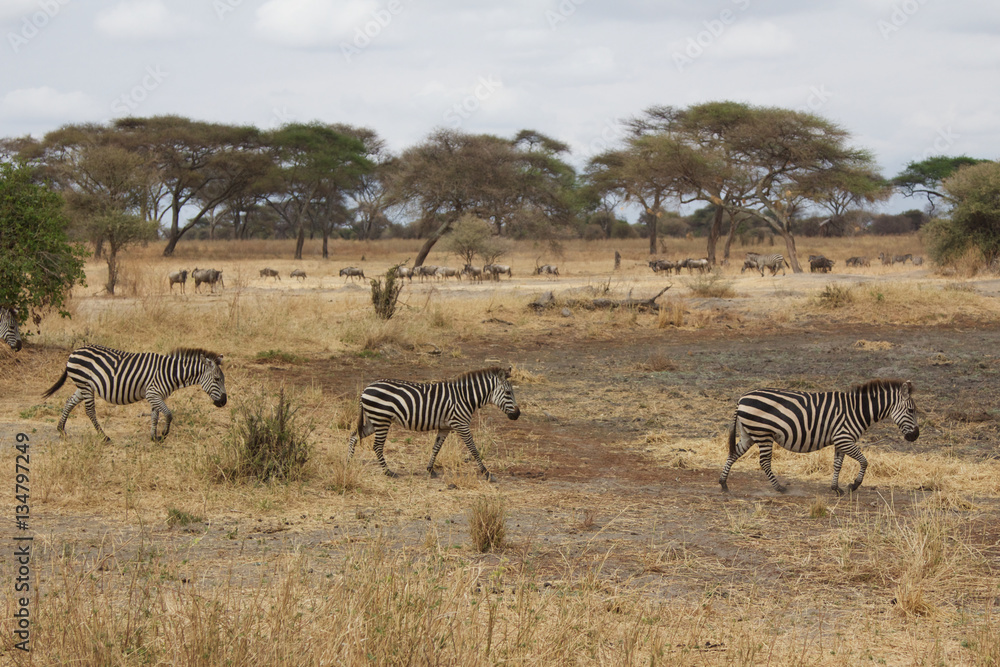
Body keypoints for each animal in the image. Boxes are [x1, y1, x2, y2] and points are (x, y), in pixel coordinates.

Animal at [41, 345, 227, 442]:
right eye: (217, 379)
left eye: (222, 379)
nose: (224, 402)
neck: (170, 372)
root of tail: (75, 351)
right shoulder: (153, 393)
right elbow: (168, 414)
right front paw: (164, 434)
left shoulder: (156, 396)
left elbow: (155, 416)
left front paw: (154, 437)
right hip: (85, 385)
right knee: (89, 410)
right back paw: (104, 436)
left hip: (83, 386)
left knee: (69, 401)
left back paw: (61, 430)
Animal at [347, 366, 521, 481]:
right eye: (508, 393)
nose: (518, 414)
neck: (465, 397)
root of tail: (366, 389)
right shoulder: (461, 424)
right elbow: (473, 449)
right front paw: (486, 473)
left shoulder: (445, 427)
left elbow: (436, 448)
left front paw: (430, 470)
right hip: (381, 419)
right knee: (376, 446)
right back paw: (388, 472)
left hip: (373, 420)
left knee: (353, 436)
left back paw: (348, 461)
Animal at [719, 379, 919, 495]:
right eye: (911, 411)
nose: (915, 436)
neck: (858, 410)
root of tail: (742, 398)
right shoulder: (845, 438)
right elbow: (864, 461)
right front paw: (854, 485)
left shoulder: (840, 441)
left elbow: (838, 464)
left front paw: (836, 488)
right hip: (763, 434)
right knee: (764, 462)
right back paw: (779, 487)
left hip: (749, 434)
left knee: (733, 454)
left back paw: (723, 483)